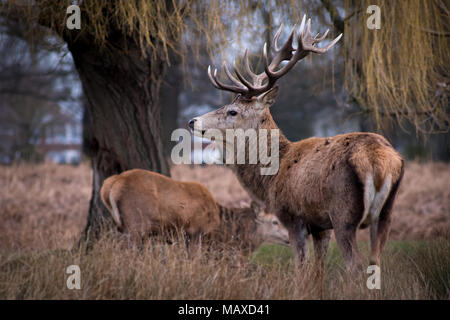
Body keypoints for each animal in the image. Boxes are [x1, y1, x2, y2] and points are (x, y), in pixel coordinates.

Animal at [99, 169, 288, 249]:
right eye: (275, 221)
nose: (289, 237)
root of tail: (110, 186)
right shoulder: (197, 234)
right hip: (136, 225)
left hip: (122, 226)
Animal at [190, 13, 404, 272]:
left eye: (233, 111)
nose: (192, 121)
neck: (271, 176)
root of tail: (377, 159)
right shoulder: (321, 226)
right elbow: (318, 270)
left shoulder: (293, 216)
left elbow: (301, 268)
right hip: (386, 213)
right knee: (375, 260)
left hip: (344, 213)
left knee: (355, 265)